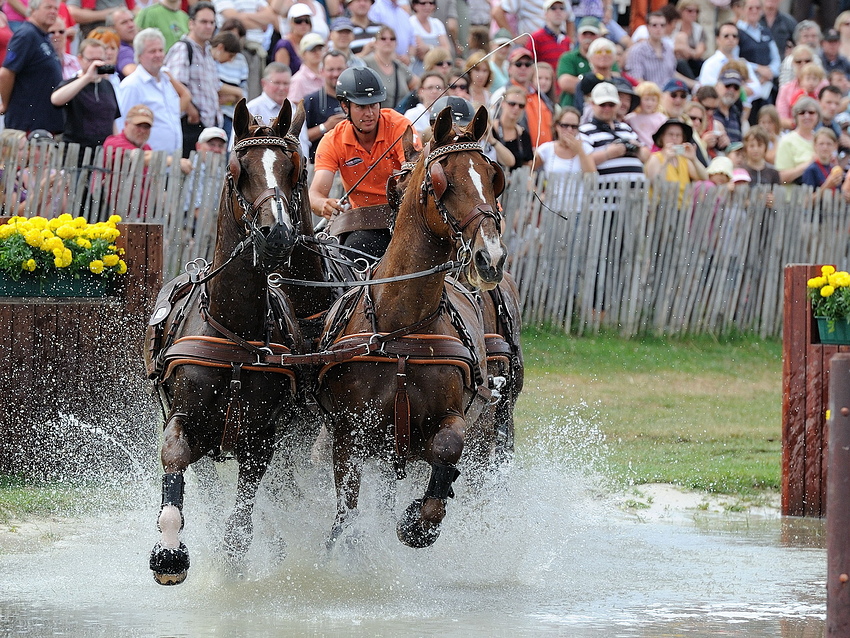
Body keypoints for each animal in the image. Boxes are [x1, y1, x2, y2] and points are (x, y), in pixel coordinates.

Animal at [144, 99, 322, 584]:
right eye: (236, 170)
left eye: (293, 168)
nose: (276, 235)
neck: (234, 330)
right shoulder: (184, 420)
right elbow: (173, 466)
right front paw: (169, 552)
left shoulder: (261, 440)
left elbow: (241, 525)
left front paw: (234, 568)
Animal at [316, 106, 504, 552]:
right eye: (443, 179)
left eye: (493, 176)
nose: (491, 257)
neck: (400, 329)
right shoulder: (348, 435)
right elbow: (344, 513)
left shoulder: (451, 419)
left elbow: (448, 450)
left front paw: (419, 523)